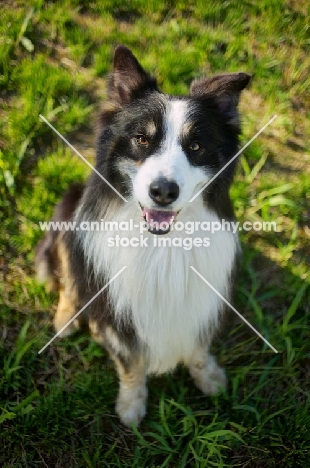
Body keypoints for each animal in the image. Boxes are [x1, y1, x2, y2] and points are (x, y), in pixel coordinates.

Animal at [35, 45, 249, 426]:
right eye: (141, 139)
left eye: (196, 146)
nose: (163, 191)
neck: (161, 245)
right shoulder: (116, 316)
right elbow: (130, 364)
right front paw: (131, 407)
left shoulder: (201, 302)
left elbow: (198, 347)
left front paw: (210, 378)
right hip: (68, 210)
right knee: (69, 277)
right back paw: (66, 319)